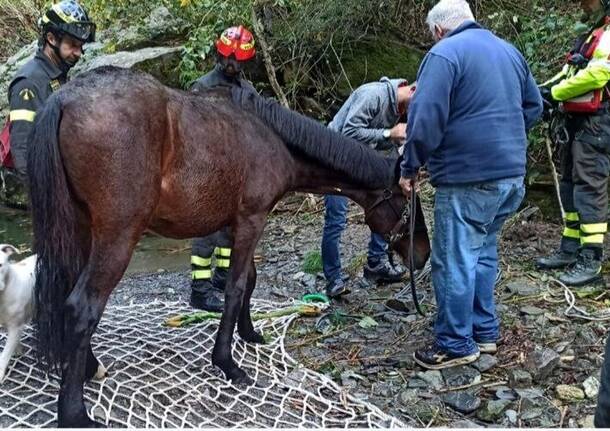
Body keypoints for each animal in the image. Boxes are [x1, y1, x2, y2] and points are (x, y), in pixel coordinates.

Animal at [28, 67, 428, 428]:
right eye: (408, 204)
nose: (422, 255)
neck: (270, 135)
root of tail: (64, 98)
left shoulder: (235, 224)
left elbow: (248, 280)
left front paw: (248, 333)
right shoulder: (253, 219)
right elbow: (235, 287)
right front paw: (227, 361)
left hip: (81, 230)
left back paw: (89, 368)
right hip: (117, 236)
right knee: (83, 307)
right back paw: (74, 413)